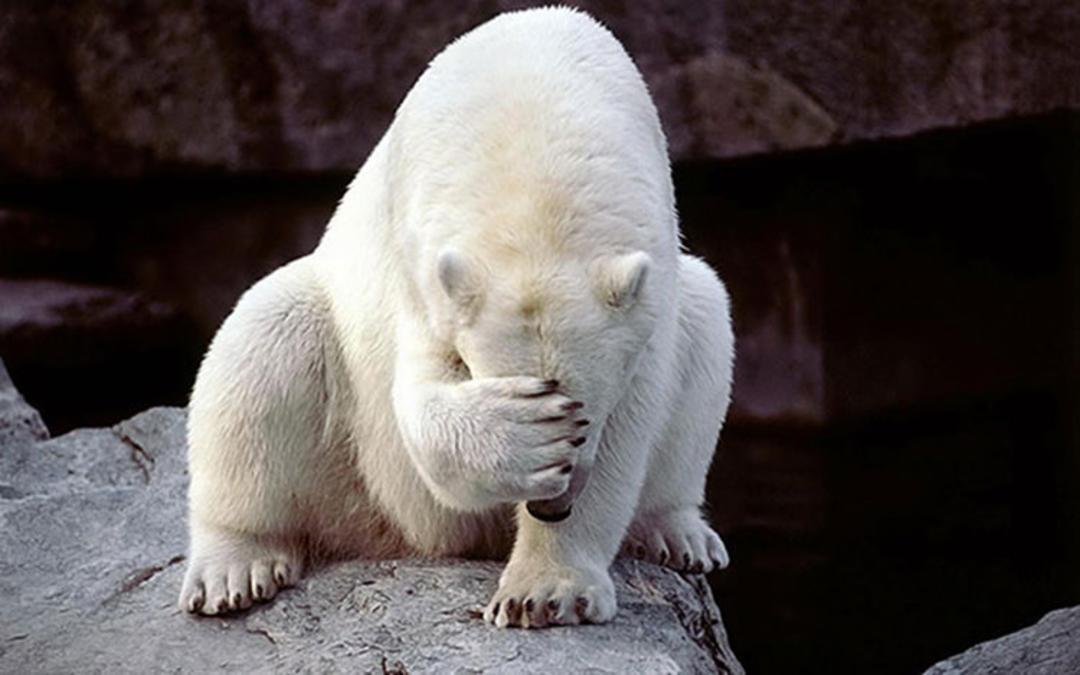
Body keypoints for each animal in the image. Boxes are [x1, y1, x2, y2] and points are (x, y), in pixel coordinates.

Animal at [178, 6, 733, 628]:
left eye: (586, 412)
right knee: (264, 340)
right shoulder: (420, 263)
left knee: (707, 319)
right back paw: (233, 568)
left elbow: (632, 421)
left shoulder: (650, 285)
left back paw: (678, 533)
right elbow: (419, 399)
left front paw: (544, 592)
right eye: (548, 402)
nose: (551, 507)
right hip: (348, 459)